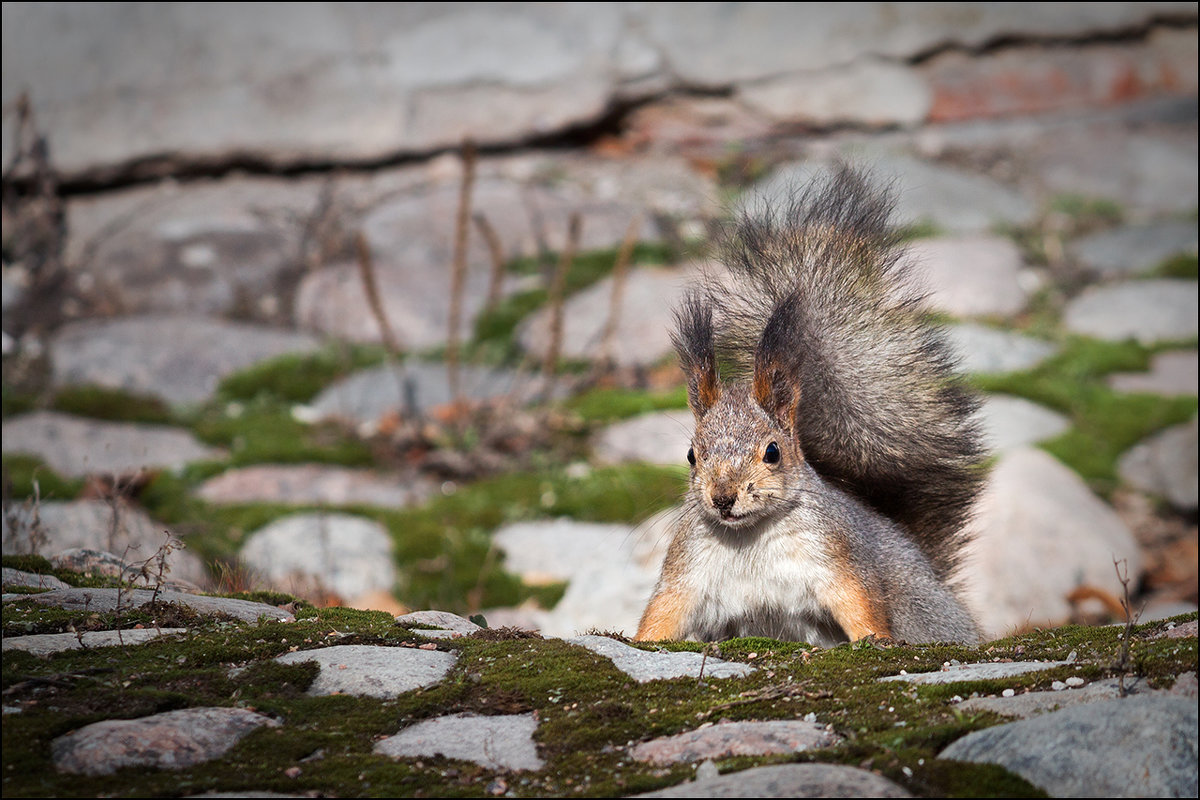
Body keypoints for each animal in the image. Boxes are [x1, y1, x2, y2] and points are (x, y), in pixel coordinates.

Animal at [638, 165, 984, 647]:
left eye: (772, 452)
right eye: (691, 455)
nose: (723, 498)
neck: (748, 536)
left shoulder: (837, 560)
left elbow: (860, 603)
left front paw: (875, 641)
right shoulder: (685, 573)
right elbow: (662, 613)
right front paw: (638, 641)